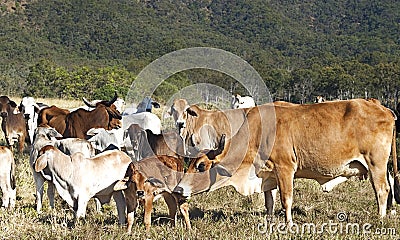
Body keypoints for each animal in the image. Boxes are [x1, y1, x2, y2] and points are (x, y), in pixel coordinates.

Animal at [175, 99, 400, 227]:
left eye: (201, 166)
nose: (178, 189)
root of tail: (384, 109)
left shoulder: (285, 169)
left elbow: (286, 199)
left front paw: (289, 223)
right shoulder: (268, 175)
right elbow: (269, 202)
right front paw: (269, 222)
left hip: (376, 164)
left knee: (382, 189)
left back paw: (380, 218)